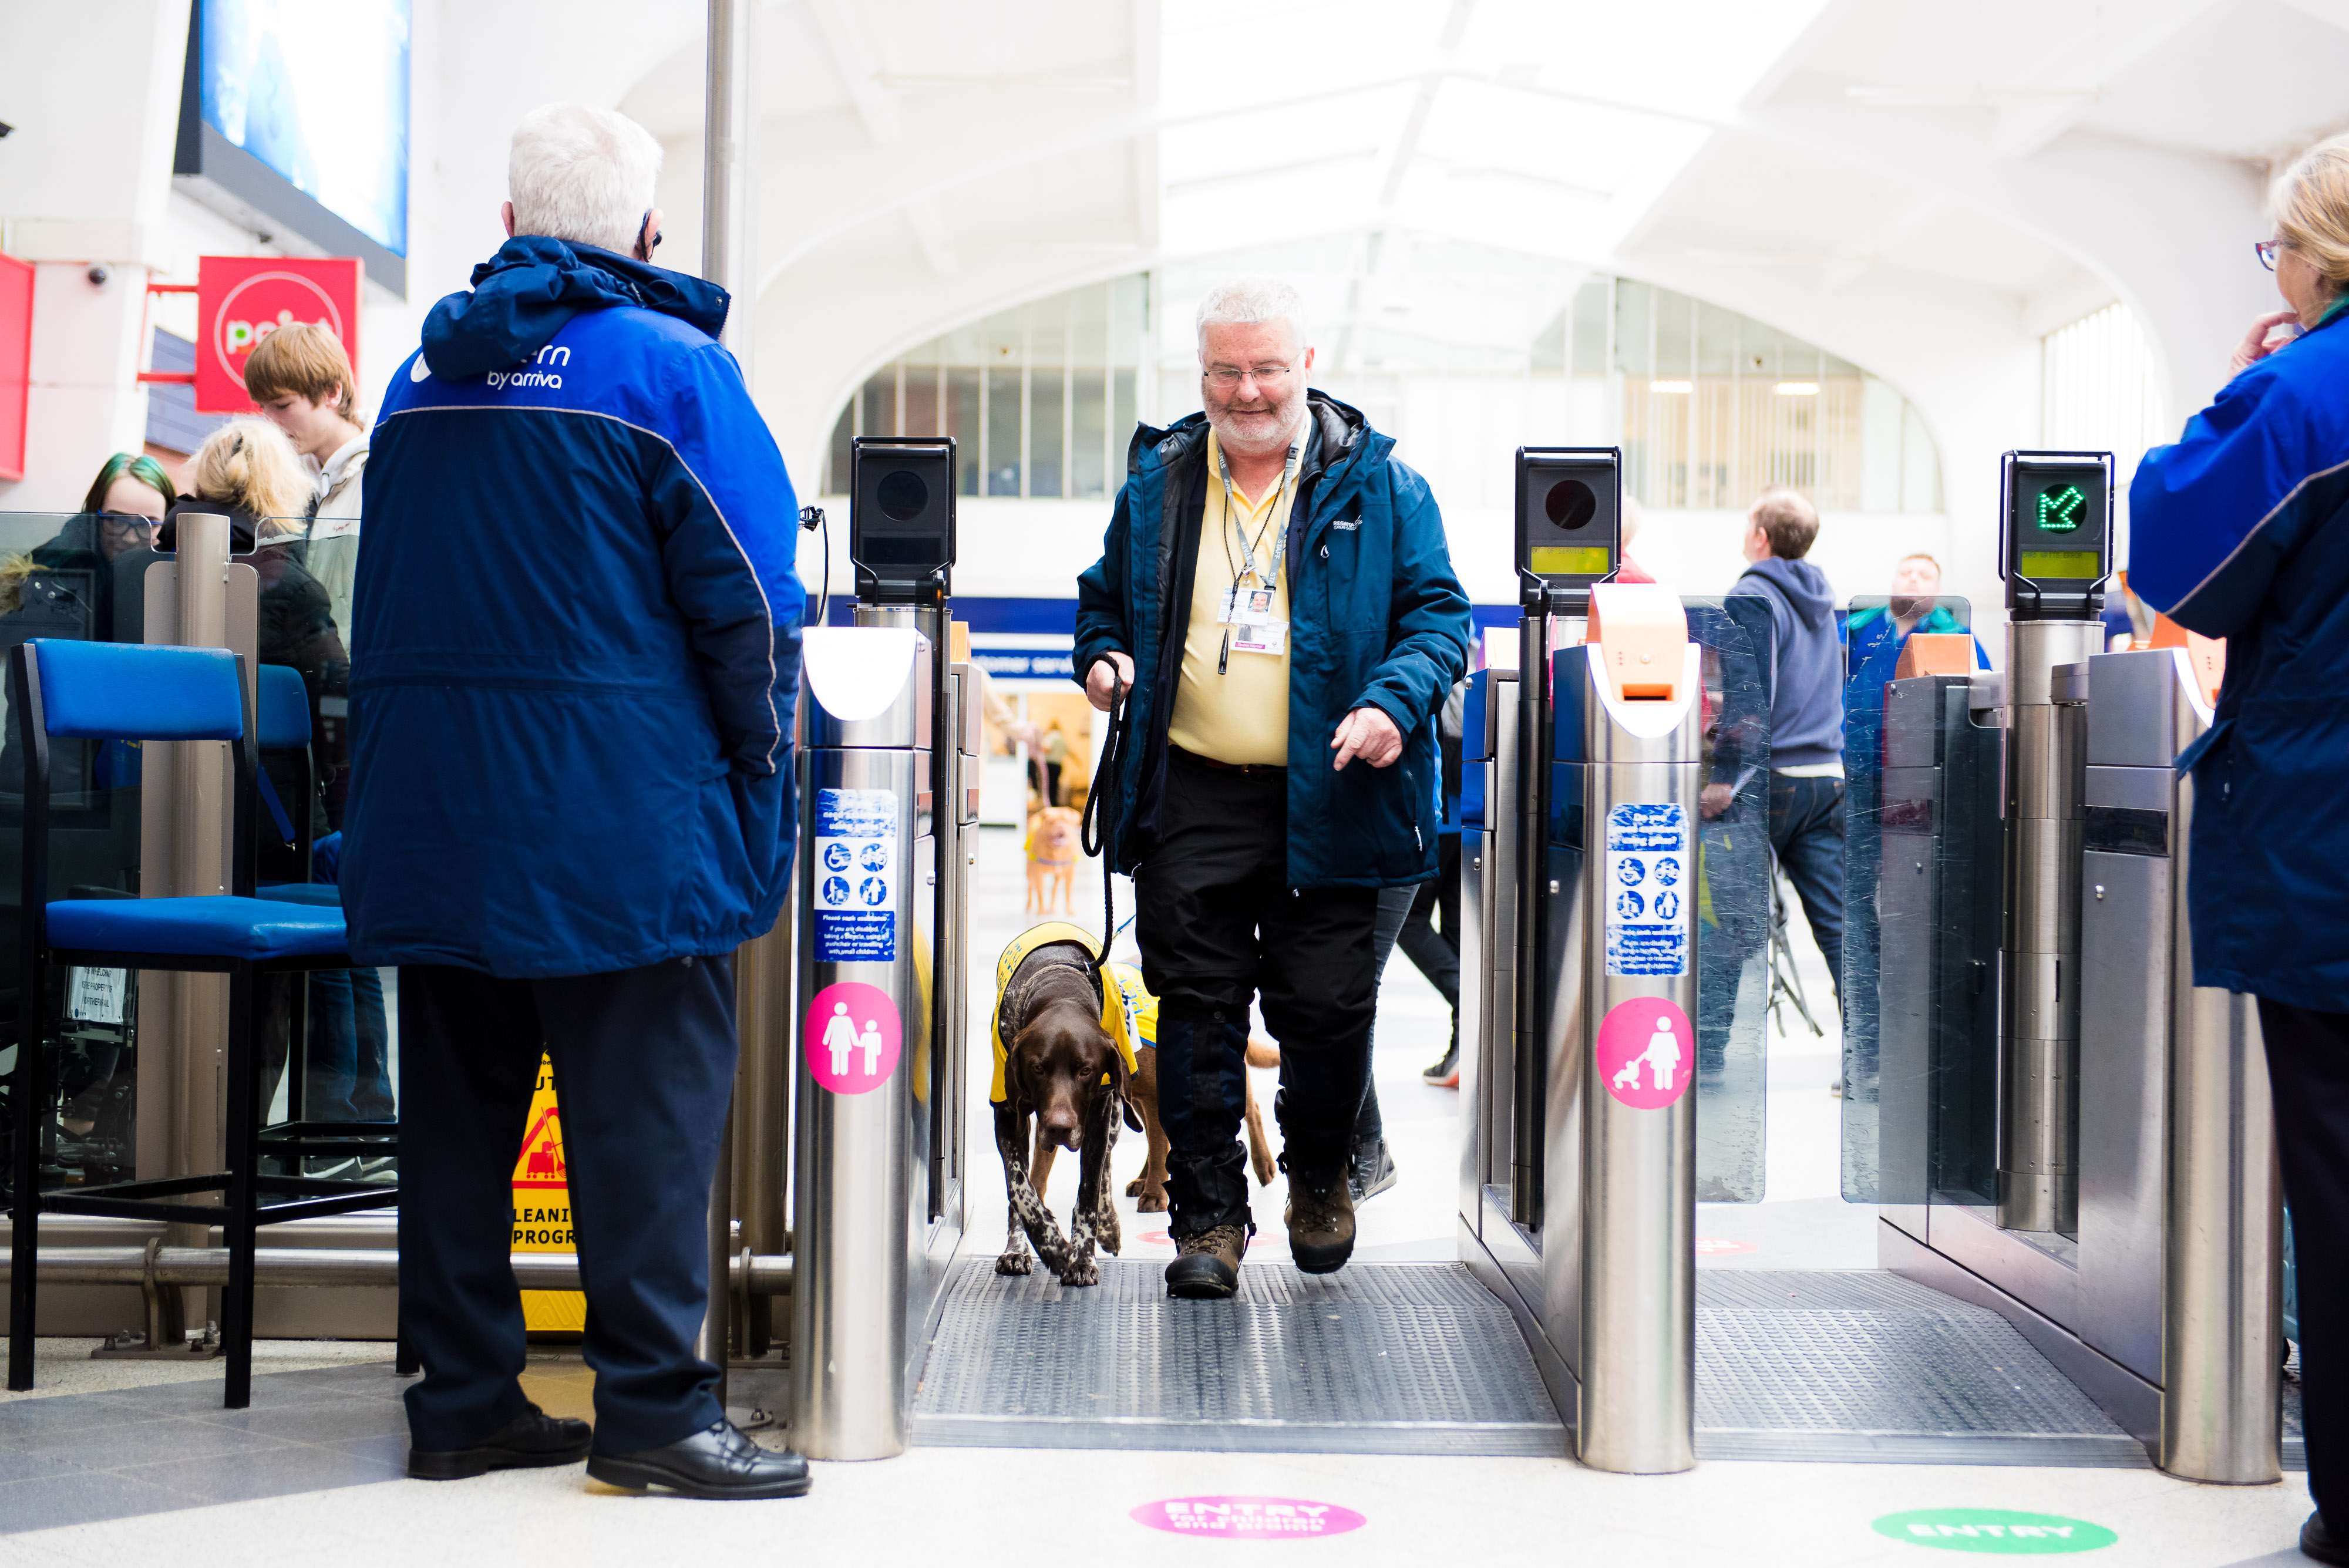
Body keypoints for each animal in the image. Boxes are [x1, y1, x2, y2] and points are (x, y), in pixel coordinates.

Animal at [1019, 807, 1076, 920]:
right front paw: (1041, 911)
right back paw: (1029, 906)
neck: (1056, 851)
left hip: (1059, 875)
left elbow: (1068, 893)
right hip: (1030, 872)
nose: (1061, 828)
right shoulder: (1039, 873)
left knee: (1054, 889)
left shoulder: (1070, 874)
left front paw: (1069, 910)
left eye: (1066, 821)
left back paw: (1052, 907)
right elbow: (1040, 893)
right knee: (1031, 888)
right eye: (1051, 822)